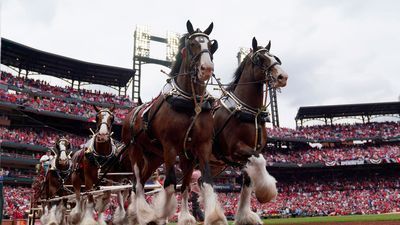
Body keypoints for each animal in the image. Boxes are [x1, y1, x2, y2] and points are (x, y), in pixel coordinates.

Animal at [120, 20, 227, 225]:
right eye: (192, 44)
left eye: (211, 45)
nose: (207, 69)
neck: (190, 103)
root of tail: (132, 113)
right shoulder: (170, 145)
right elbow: (170, 183)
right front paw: (161, 215)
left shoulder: (198, 148)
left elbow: (196, 183)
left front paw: (207, 217)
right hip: (135, 150)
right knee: (137, 183)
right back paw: (140, 213)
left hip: (154, 157)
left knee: (142, 181)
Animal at [212, 37, 288, 224]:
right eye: (259, 59)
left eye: (275, 57)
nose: (282, 77)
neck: (248, 112)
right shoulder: (236, 149)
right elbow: (260, 161)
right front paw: (266, 192)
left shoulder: (248, 153)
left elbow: (248, 181)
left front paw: (245, 216)